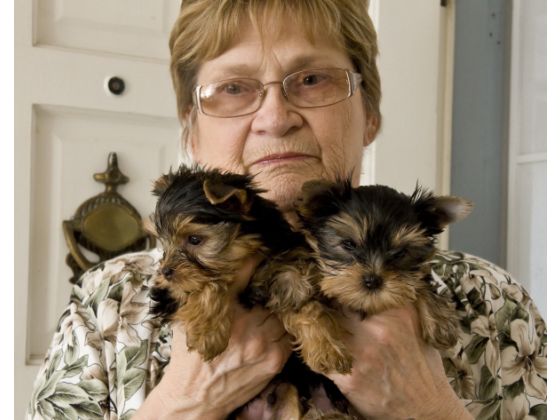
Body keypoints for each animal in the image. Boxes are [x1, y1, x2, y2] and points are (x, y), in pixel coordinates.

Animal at [149, 165, 350, 374]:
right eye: (164, 243)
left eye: (194, 239)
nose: (166, 272)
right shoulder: (168, 293)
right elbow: (209, 283)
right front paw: (207, 333)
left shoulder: (286, 263)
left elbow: (302, 300)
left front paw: (327, 349)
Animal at [294, 179, 472, 352]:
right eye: (349, 244)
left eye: (400, 253)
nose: (372, 281)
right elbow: (305, 304)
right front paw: (325, 348)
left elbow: (419, 282)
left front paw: (441, 325)